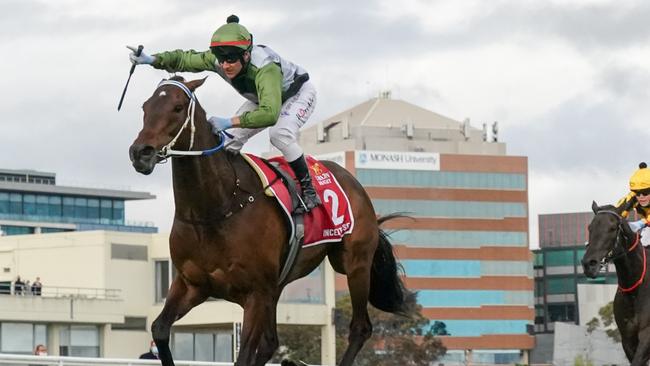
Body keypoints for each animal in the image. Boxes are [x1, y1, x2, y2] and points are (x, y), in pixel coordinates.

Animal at [128, 77, 410, 366]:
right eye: (145, 107)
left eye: (177, 107)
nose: (140, 153)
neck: (217, 207)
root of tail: (355, 183)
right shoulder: (192, 284)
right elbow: (160, 329)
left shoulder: (256, 293)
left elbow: (243, 356)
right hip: (280, 285)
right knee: (270, 342)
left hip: (355, 264)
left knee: (360, 327)